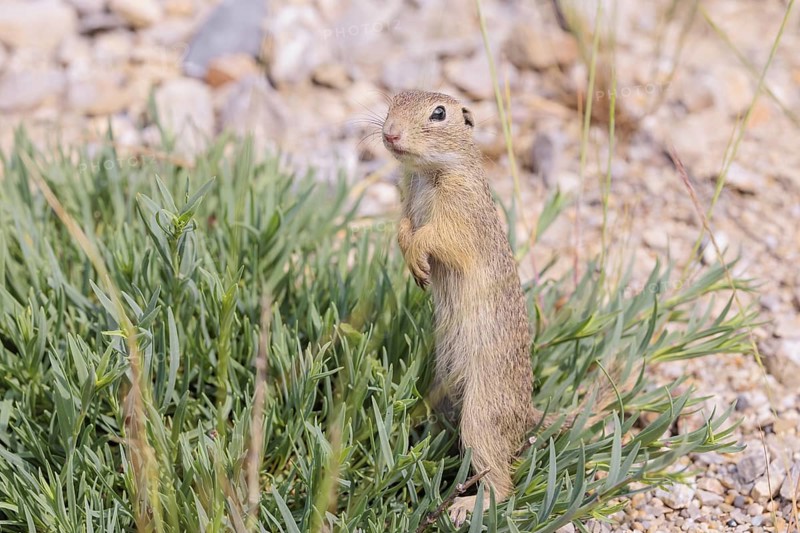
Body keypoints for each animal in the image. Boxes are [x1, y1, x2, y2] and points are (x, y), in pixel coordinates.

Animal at [382, 90, 541, 526]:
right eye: (393, 101)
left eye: (439, 113)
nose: (389, 133)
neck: (428, 172)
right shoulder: (405, 197)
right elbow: (403, 227)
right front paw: (411, 259)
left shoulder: (461, 209)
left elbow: (438, 235)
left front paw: (420, 258)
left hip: (482, 415)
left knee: (501, 482)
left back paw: (464, 508)